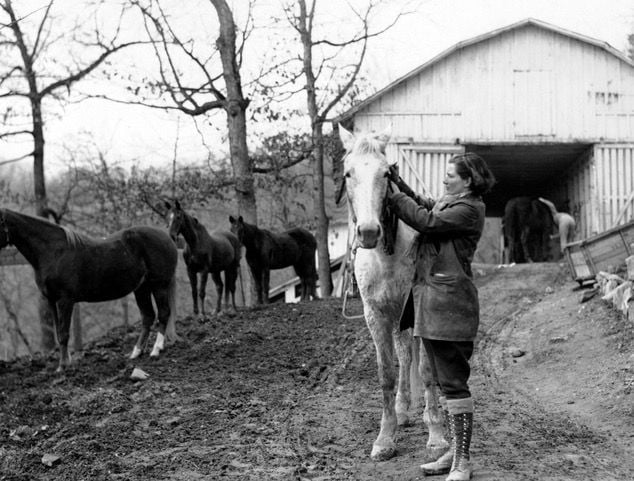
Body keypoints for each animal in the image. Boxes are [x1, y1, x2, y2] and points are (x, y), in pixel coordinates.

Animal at [0, 207, 178, 372]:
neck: (54, 252)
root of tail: (167, 237)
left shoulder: (65, 300)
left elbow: (64, 333)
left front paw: (63, 366)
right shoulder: (51, 300)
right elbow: (58, 332)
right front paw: (64, 363)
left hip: (159, 286)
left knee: (163, 314)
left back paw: (155, 350)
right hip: (142, 288)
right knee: (148, 316)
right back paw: (136, 353)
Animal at [338, 124, 446, 462]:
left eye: (386, 173)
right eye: (348, 173)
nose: (369, 232)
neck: (386, 253)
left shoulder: (421, 307)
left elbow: (427, 368)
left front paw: (436, 435)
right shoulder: (376, 314)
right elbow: (386, 371)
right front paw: (385, 438)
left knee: (415, 354)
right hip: (398, 315)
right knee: (404, 352)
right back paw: (402, 410)